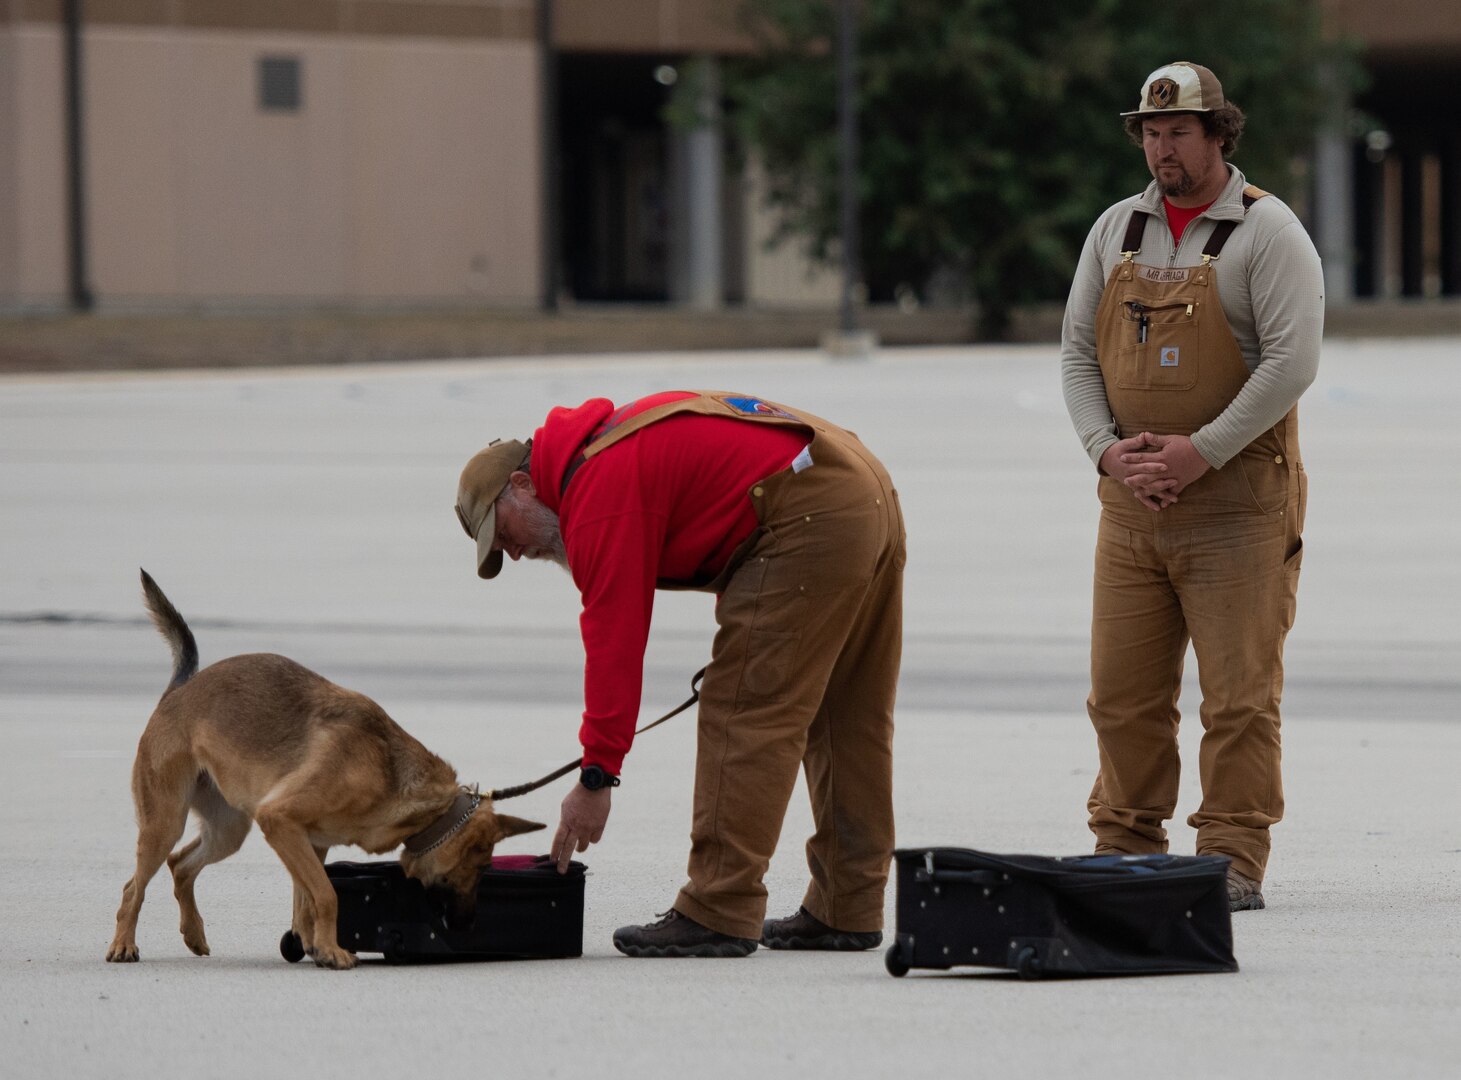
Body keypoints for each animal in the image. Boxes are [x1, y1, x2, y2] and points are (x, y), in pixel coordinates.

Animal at [106, 575, 543, 970]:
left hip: (228, 830)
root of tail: (178, 690)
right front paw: (331, 951)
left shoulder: (309, 842)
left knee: (180, 865)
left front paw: (316, 946)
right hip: (165, 823)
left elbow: (309, 900)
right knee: (133, 887)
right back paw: (124, 945)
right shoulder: (280, 821)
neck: (391, 777)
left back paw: (194, 934)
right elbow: (328, 894)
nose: (468, 925)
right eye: (481, 868)